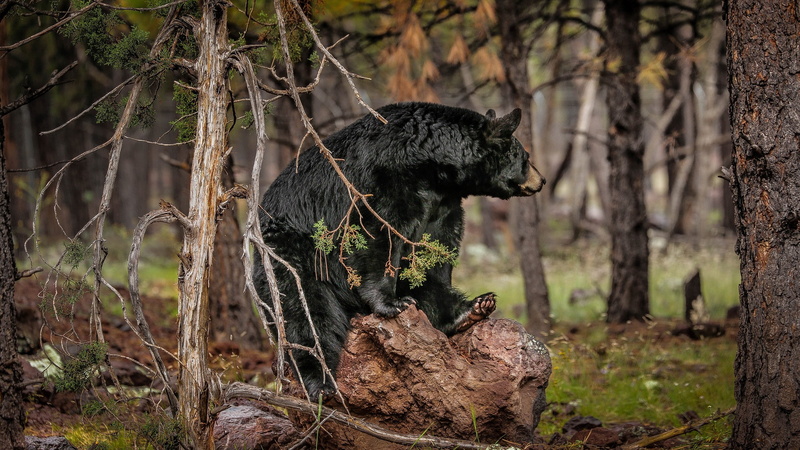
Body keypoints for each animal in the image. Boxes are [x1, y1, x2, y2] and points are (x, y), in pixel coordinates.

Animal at [254, 102, 545, 398]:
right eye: (525, 156)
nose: (542, 180)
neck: (432, 162)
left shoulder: (444, 203)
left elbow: (436, 252)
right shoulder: (386, 179)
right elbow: (380, 234)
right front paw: (389, 303)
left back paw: (473, 307)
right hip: (294, 253)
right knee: (304, 310)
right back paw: (320, 381)